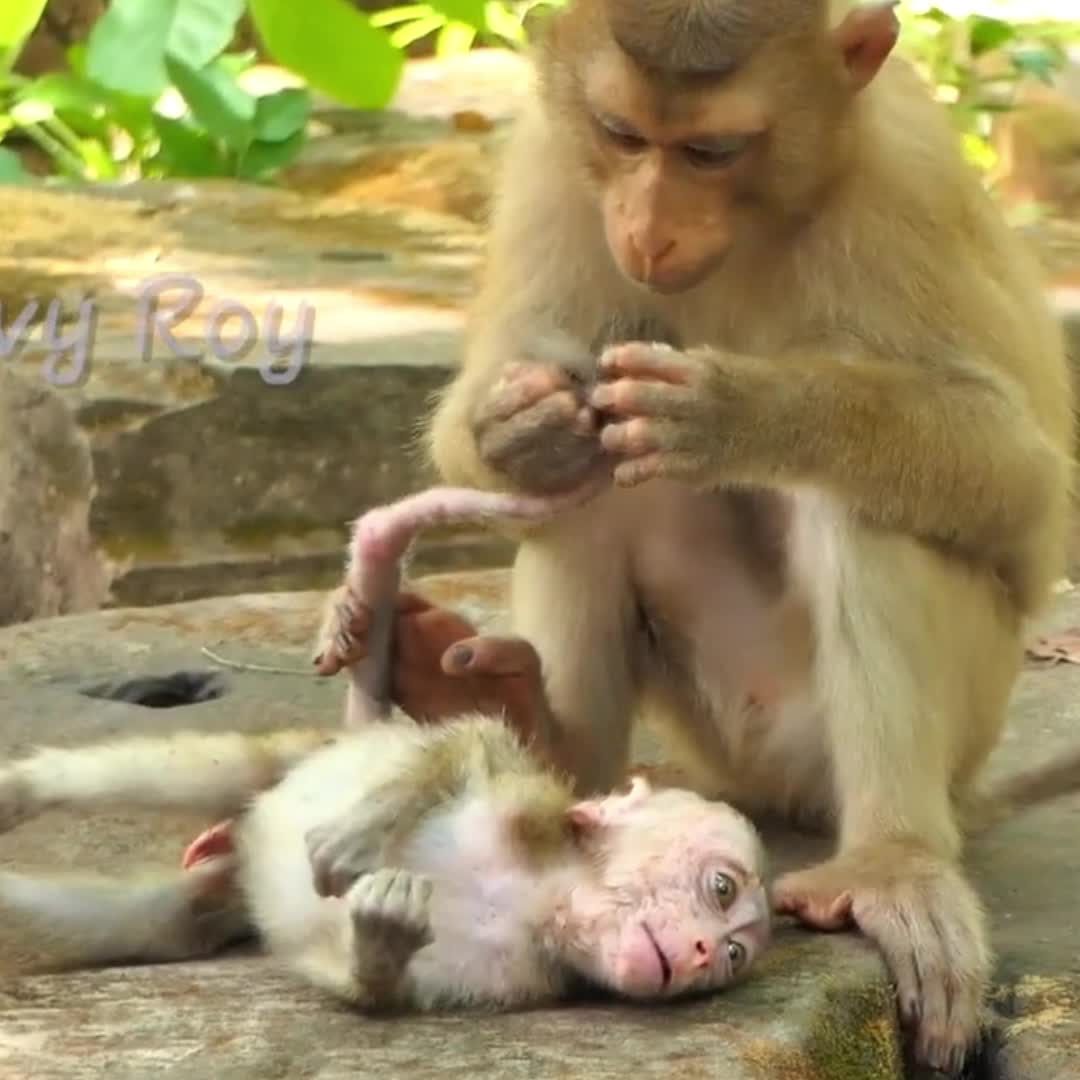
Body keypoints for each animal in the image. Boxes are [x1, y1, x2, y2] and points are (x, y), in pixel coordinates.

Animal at [0, 485, 772, 1012]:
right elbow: (471, 743)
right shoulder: (531, 806)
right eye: (720, 889)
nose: (704, 952)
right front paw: (363, 833)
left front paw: (382, 942)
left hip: (218, 890)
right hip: (301, 757)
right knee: (204, 773)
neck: (543, 896)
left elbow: (367, 986)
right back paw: (27, 789)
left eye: (736, 952)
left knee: (157, 920)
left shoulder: (514, 976)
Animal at [410, 0, 1076, 1071]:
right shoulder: (551, 162)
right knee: (597, 482)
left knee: (868, 502)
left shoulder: (909, 186)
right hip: (714, 728)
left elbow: (1023, 486)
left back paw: (892, 862)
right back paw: (539, 732)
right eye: (622, 134)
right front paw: (525, 425)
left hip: (919, 731)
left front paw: (739, 412)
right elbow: (517, 398)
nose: (647, 230)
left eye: (713, 150)